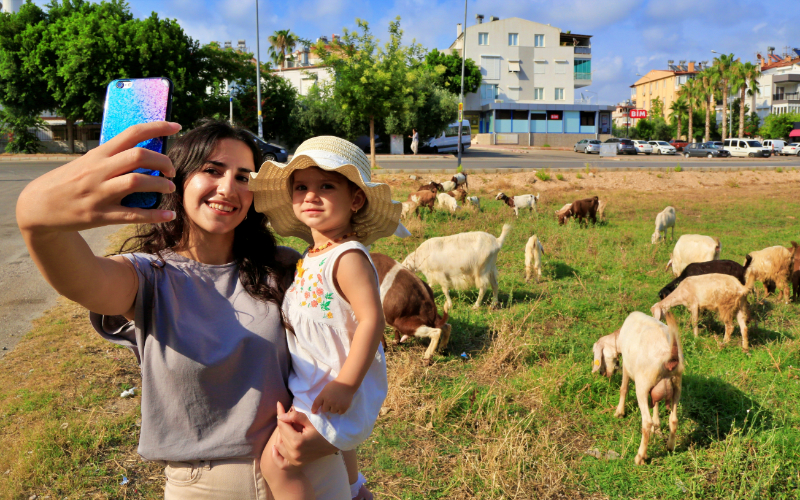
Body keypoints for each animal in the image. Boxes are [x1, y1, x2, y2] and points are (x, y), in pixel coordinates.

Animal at [592, 310, 684, 466]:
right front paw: (657, 426)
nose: (602, 373)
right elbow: (656, 404)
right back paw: (670, 447)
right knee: (673, 419)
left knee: (646, 422)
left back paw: (640, 457)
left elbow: (623, 388)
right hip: (677, 386)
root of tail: (670, 358)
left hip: (642, 386)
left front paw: (619, 412)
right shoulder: (655, 386)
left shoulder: (626, 366)